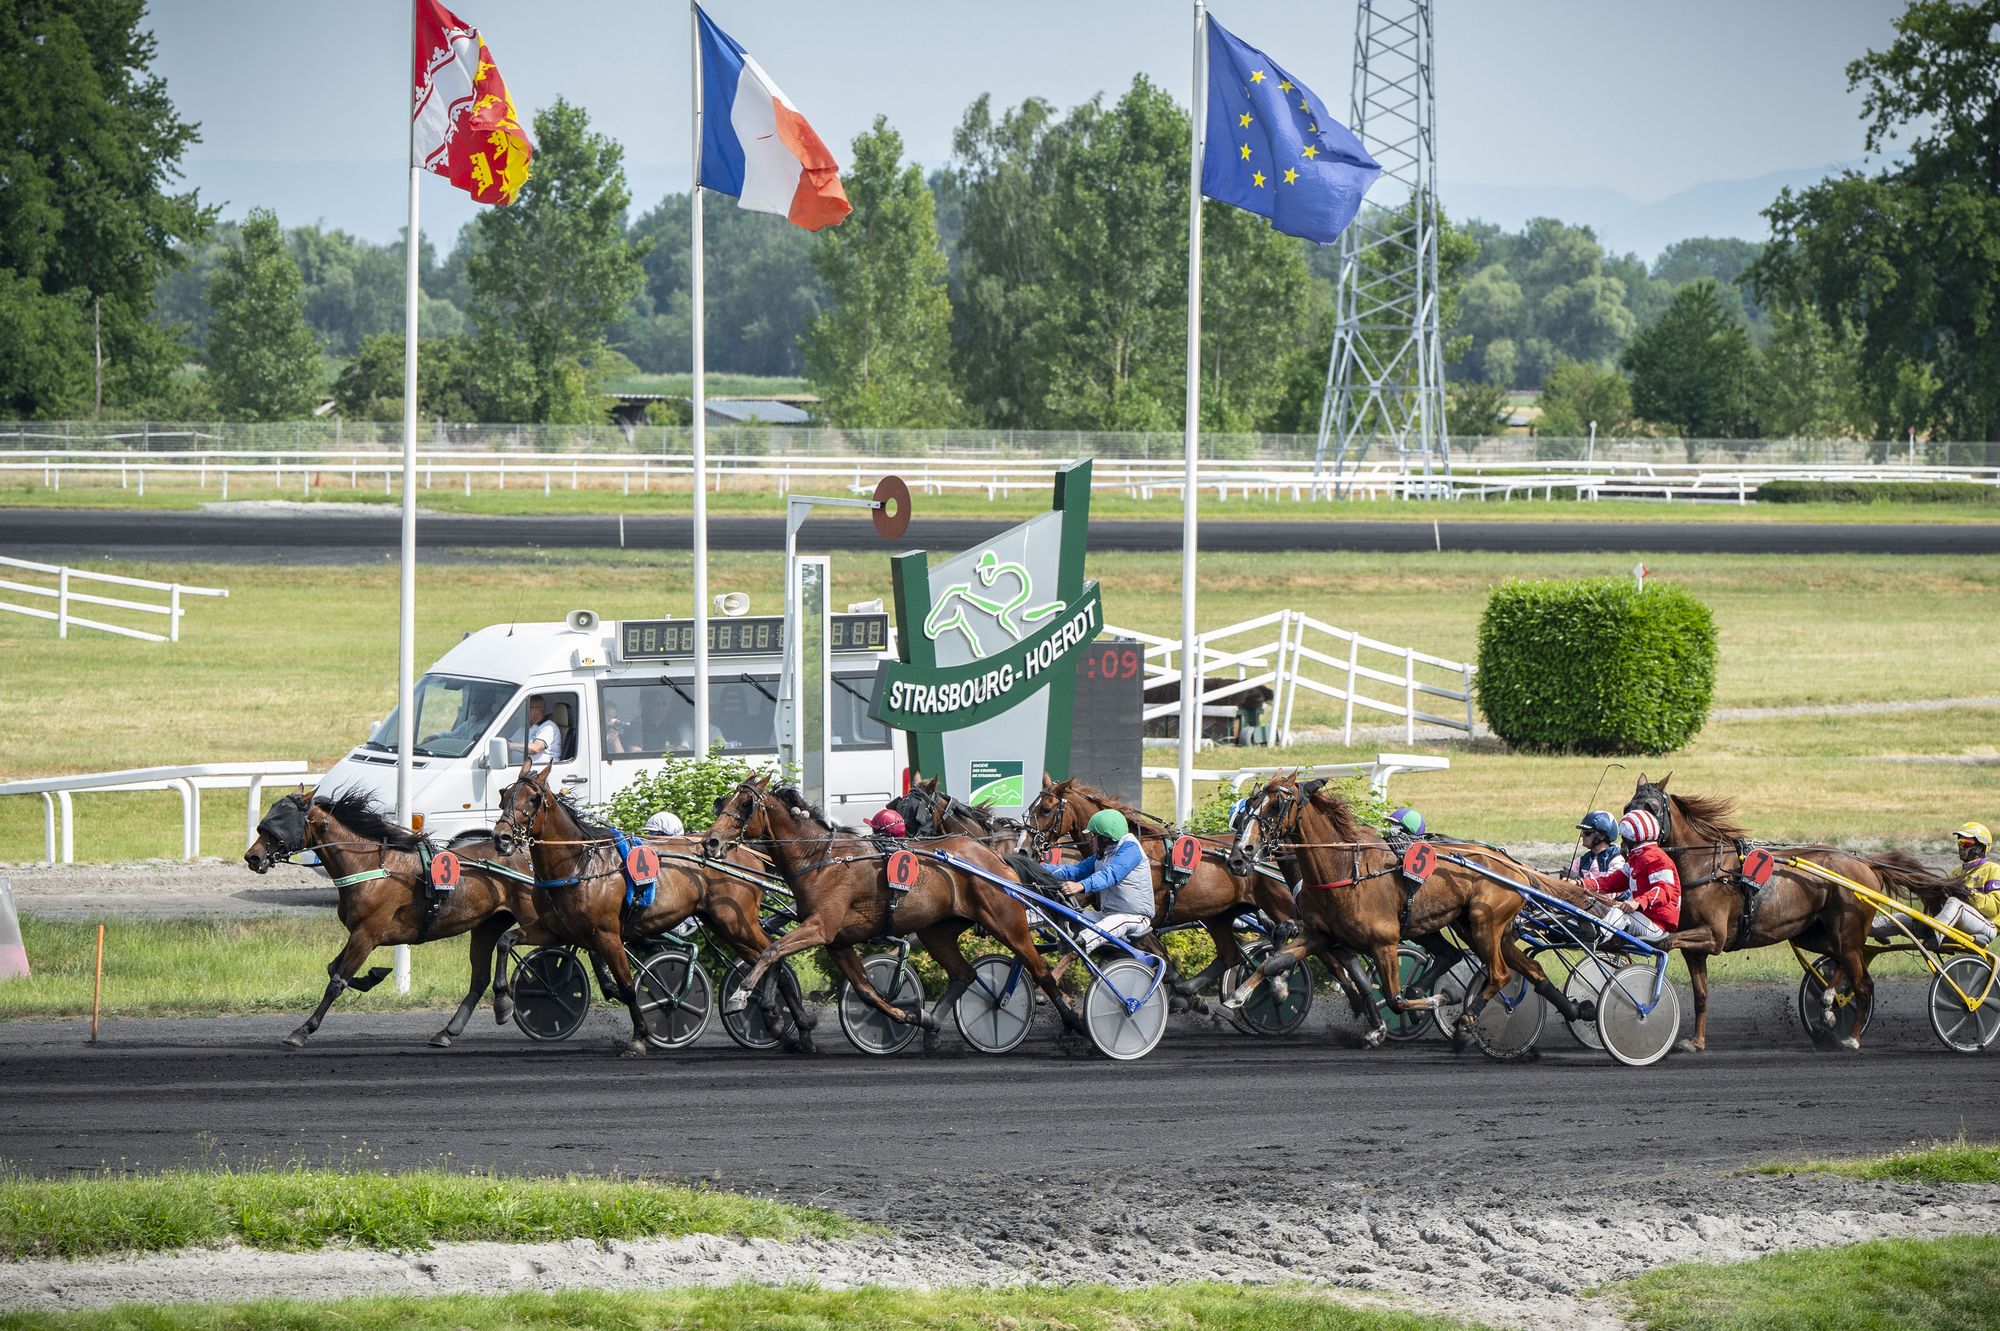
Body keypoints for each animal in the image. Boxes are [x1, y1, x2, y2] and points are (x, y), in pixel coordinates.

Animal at [246, 787, 552, 1047]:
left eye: (282, 819)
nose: (253, 857)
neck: (370, 866)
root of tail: (527, 855)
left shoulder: (366, 934)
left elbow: (335, 984)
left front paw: (302, 1030)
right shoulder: (360, 931)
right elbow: (334, 969)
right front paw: (373, 976)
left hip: (532, 919)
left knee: (519, 945)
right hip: (487, 925)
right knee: (481, 976)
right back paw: (449, 1031)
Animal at [492, 763, 812, 1055]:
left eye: (533, 799)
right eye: (503, 794)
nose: (501, 838)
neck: (578, 864)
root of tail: (747, 851)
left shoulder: (607, 934)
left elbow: (627, 986)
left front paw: (639, 1037)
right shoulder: (556, 930)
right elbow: (505, 940)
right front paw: (503, 1003)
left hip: (736, 921)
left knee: (773, 954)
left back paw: (777, 1018)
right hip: (725, 925)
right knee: (770, 958)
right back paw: (795, 1029)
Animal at [696, 779, 1088, 1047]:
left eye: (745, 803)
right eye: (723, 802)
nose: (710, 842)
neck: (820, 857)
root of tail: (996, 857)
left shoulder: (821, 926)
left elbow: (771, 951)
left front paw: (742, 997)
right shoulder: (837, 941)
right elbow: (864, 990)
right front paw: (907, 1015)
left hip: (1007, 922)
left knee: (1040, 969)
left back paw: (1075, 1022)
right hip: (937, 930)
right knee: (964, 974)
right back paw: (932, 1024)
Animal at [1216, 767, 1592, 1047]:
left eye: (1276, 805)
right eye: (1250, 803)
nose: (1240, 855)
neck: (1344, 870)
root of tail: (1513, 865)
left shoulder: (1384, 942)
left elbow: (1394, 997)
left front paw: (1439, 1001)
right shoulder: (1319, 933)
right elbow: (1275, 961)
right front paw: (1234, 1001)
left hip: (1485, 922)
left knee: (1498, 973)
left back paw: (1465, 1023)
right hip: (1470, 926)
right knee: (1528, 969)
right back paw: (1577, 1010)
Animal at [1624, 771, 1952, 1055]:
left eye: (1651, 807)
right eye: (1629, 806)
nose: (1626, 840)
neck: (1707, 867)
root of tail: (1865, 863)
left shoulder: (1713, 937)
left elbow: (1666, 942)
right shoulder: (1695, 947)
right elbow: (1701, 995)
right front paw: (1696, 1042)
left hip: (1847, 930)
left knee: (1863, 982)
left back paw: (1852, 1038)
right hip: (1812, 933)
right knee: (1845, 962)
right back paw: (1829, 1003)